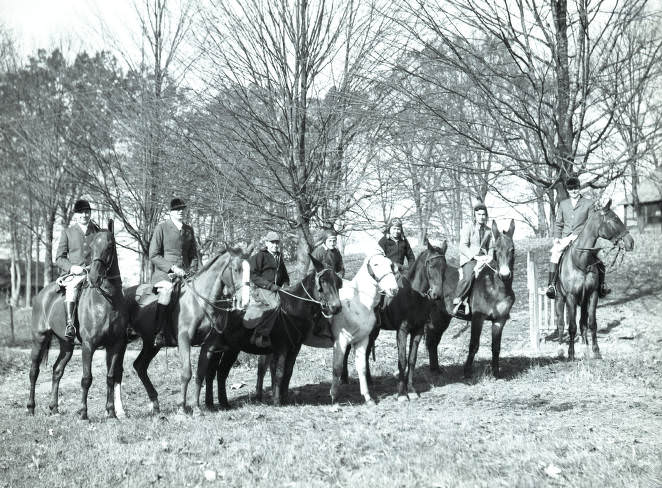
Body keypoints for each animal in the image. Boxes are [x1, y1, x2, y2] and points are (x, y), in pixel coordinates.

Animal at [27, 221, 129, 420]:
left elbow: (111, 377)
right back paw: (30, 408)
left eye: (110, 246)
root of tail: (41, 294)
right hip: (39, 339)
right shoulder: (89, 345)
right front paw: (83, 413)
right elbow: (86, 378)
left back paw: (54, 408)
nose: (94, 277)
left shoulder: (115, 345)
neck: (107, 301)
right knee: (34, 371)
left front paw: (111, 412)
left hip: (66, 345)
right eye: (92, 246)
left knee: (57, 371)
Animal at [123, 246, 250, 414]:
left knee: (140, 366)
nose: (245, 301)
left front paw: (196, 407)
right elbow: (186, 373)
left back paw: (155, 403)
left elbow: (200, 374)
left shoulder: (208, 345)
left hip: (151, 344)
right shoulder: (184, 340)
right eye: (236, 269)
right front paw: (181, 407)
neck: (199, 302)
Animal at [206, 255, 342, 408]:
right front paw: (277, 401)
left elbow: (288, 372)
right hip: (217, 348)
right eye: (323, 281)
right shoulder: (282, 347)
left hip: (231, 349)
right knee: (211, 372)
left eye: (338, 282)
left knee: (220, 372)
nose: (336, 307)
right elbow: (279, 372)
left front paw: (285, 398)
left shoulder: (295, 348)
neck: (292, 309)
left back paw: (223, 403)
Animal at [254, 250, 400, 406]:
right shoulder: (341, 341)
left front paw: (368, 397)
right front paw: (334, 397)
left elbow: (362, 367)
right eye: (376, 264)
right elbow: (337, 368)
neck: (359, 305)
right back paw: (259, 397)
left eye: (390, 265)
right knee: (262, 366)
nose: (393, 289)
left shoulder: (362, 340)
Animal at [552, 200, 636, 360]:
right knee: (560, 323)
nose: (631, 243)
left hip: (583, 302)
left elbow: (591, 323)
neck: (581, 261)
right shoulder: (571, 297)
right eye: (614, 219)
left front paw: (596, 351)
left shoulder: (592, 295)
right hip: (560, 299)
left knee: (583, 323)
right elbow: (571, 326)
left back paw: (585, 349)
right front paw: (571, 353)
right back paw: (560, 349)